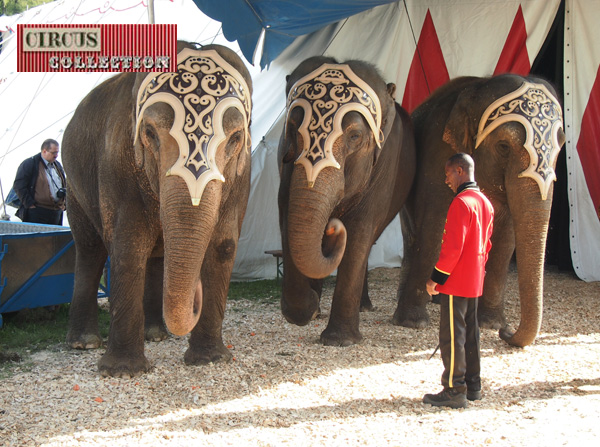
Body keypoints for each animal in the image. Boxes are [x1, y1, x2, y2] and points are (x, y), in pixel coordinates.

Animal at [62, 43, 253, 378]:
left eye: (236, 138)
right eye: (149, 133)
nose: (196, 297)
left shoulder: (244, 172)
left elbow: (223, 244)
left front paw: (211, 359)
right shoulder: (117, 159)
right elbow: (128, 246)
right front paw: (123, 371)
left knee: (156, 254)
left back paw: (156, 335)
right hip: (73, 185)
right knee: (89, 249)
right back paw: (84, 343)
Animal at [278, 57, 414, 346]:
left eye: (355, 137)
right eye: (292, 129)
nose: (332, 226)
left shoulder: (384, 163)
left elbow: (360, 228)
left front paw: (340, 340)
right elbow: (285, 212)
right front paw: (309, 309)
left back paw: (362, 307)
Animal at [392, 73, 564, 348]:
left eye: (561, 145)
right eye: (503, 146)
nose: (507, 332)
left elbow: (506, 238)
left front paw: (491, 324)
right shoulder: (437, 155)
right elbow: (434, 225)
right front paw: (413, 323)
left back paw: (440, 297)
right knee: (414, 235)